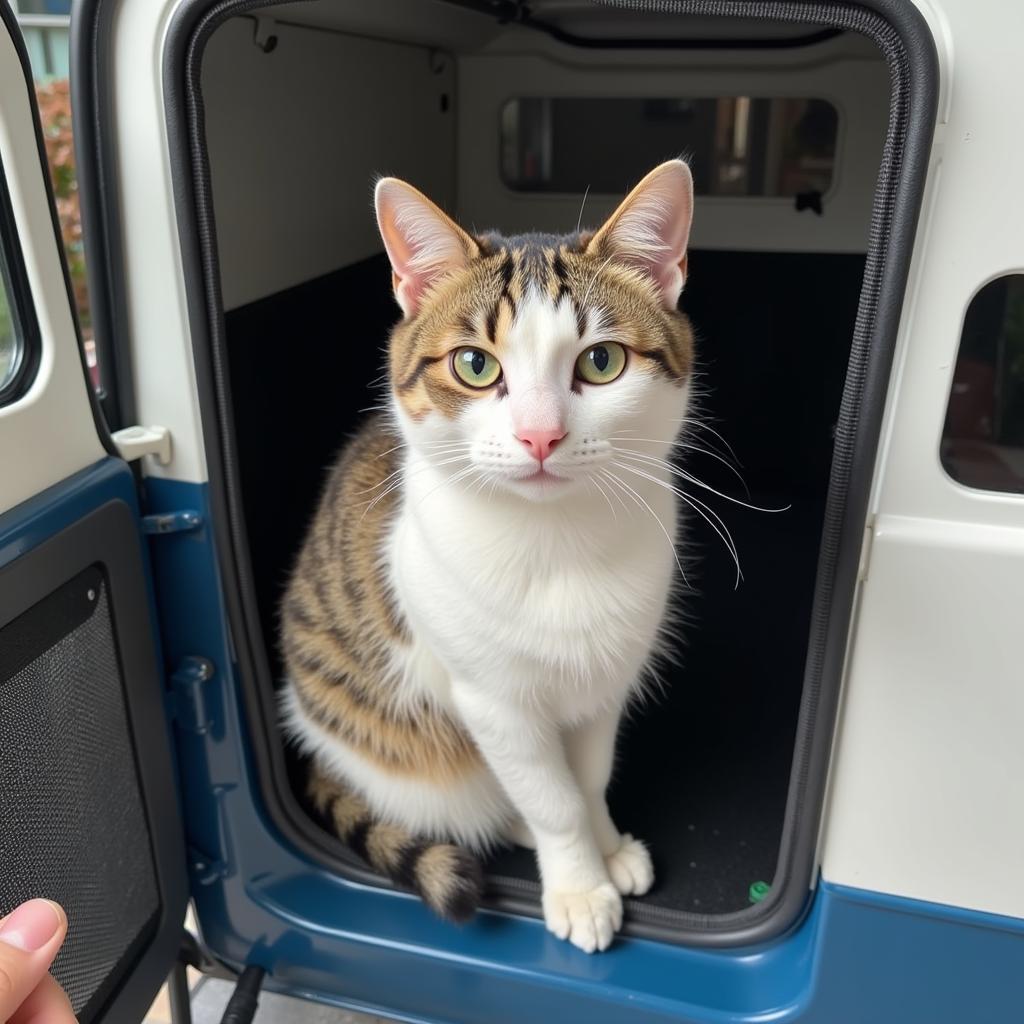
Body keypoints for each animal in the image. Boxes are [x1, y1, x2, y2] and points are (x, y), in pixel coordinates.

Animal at [280, 157, 696, 950]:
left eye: (602, 361)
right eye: (474, 364)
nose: (540, 435)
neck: (557, 541)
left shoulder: (605, 678)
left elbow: (586, 779)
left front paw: (604, 846)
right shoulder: (493, 700)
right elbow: (551, 799)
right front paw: (579, 885)